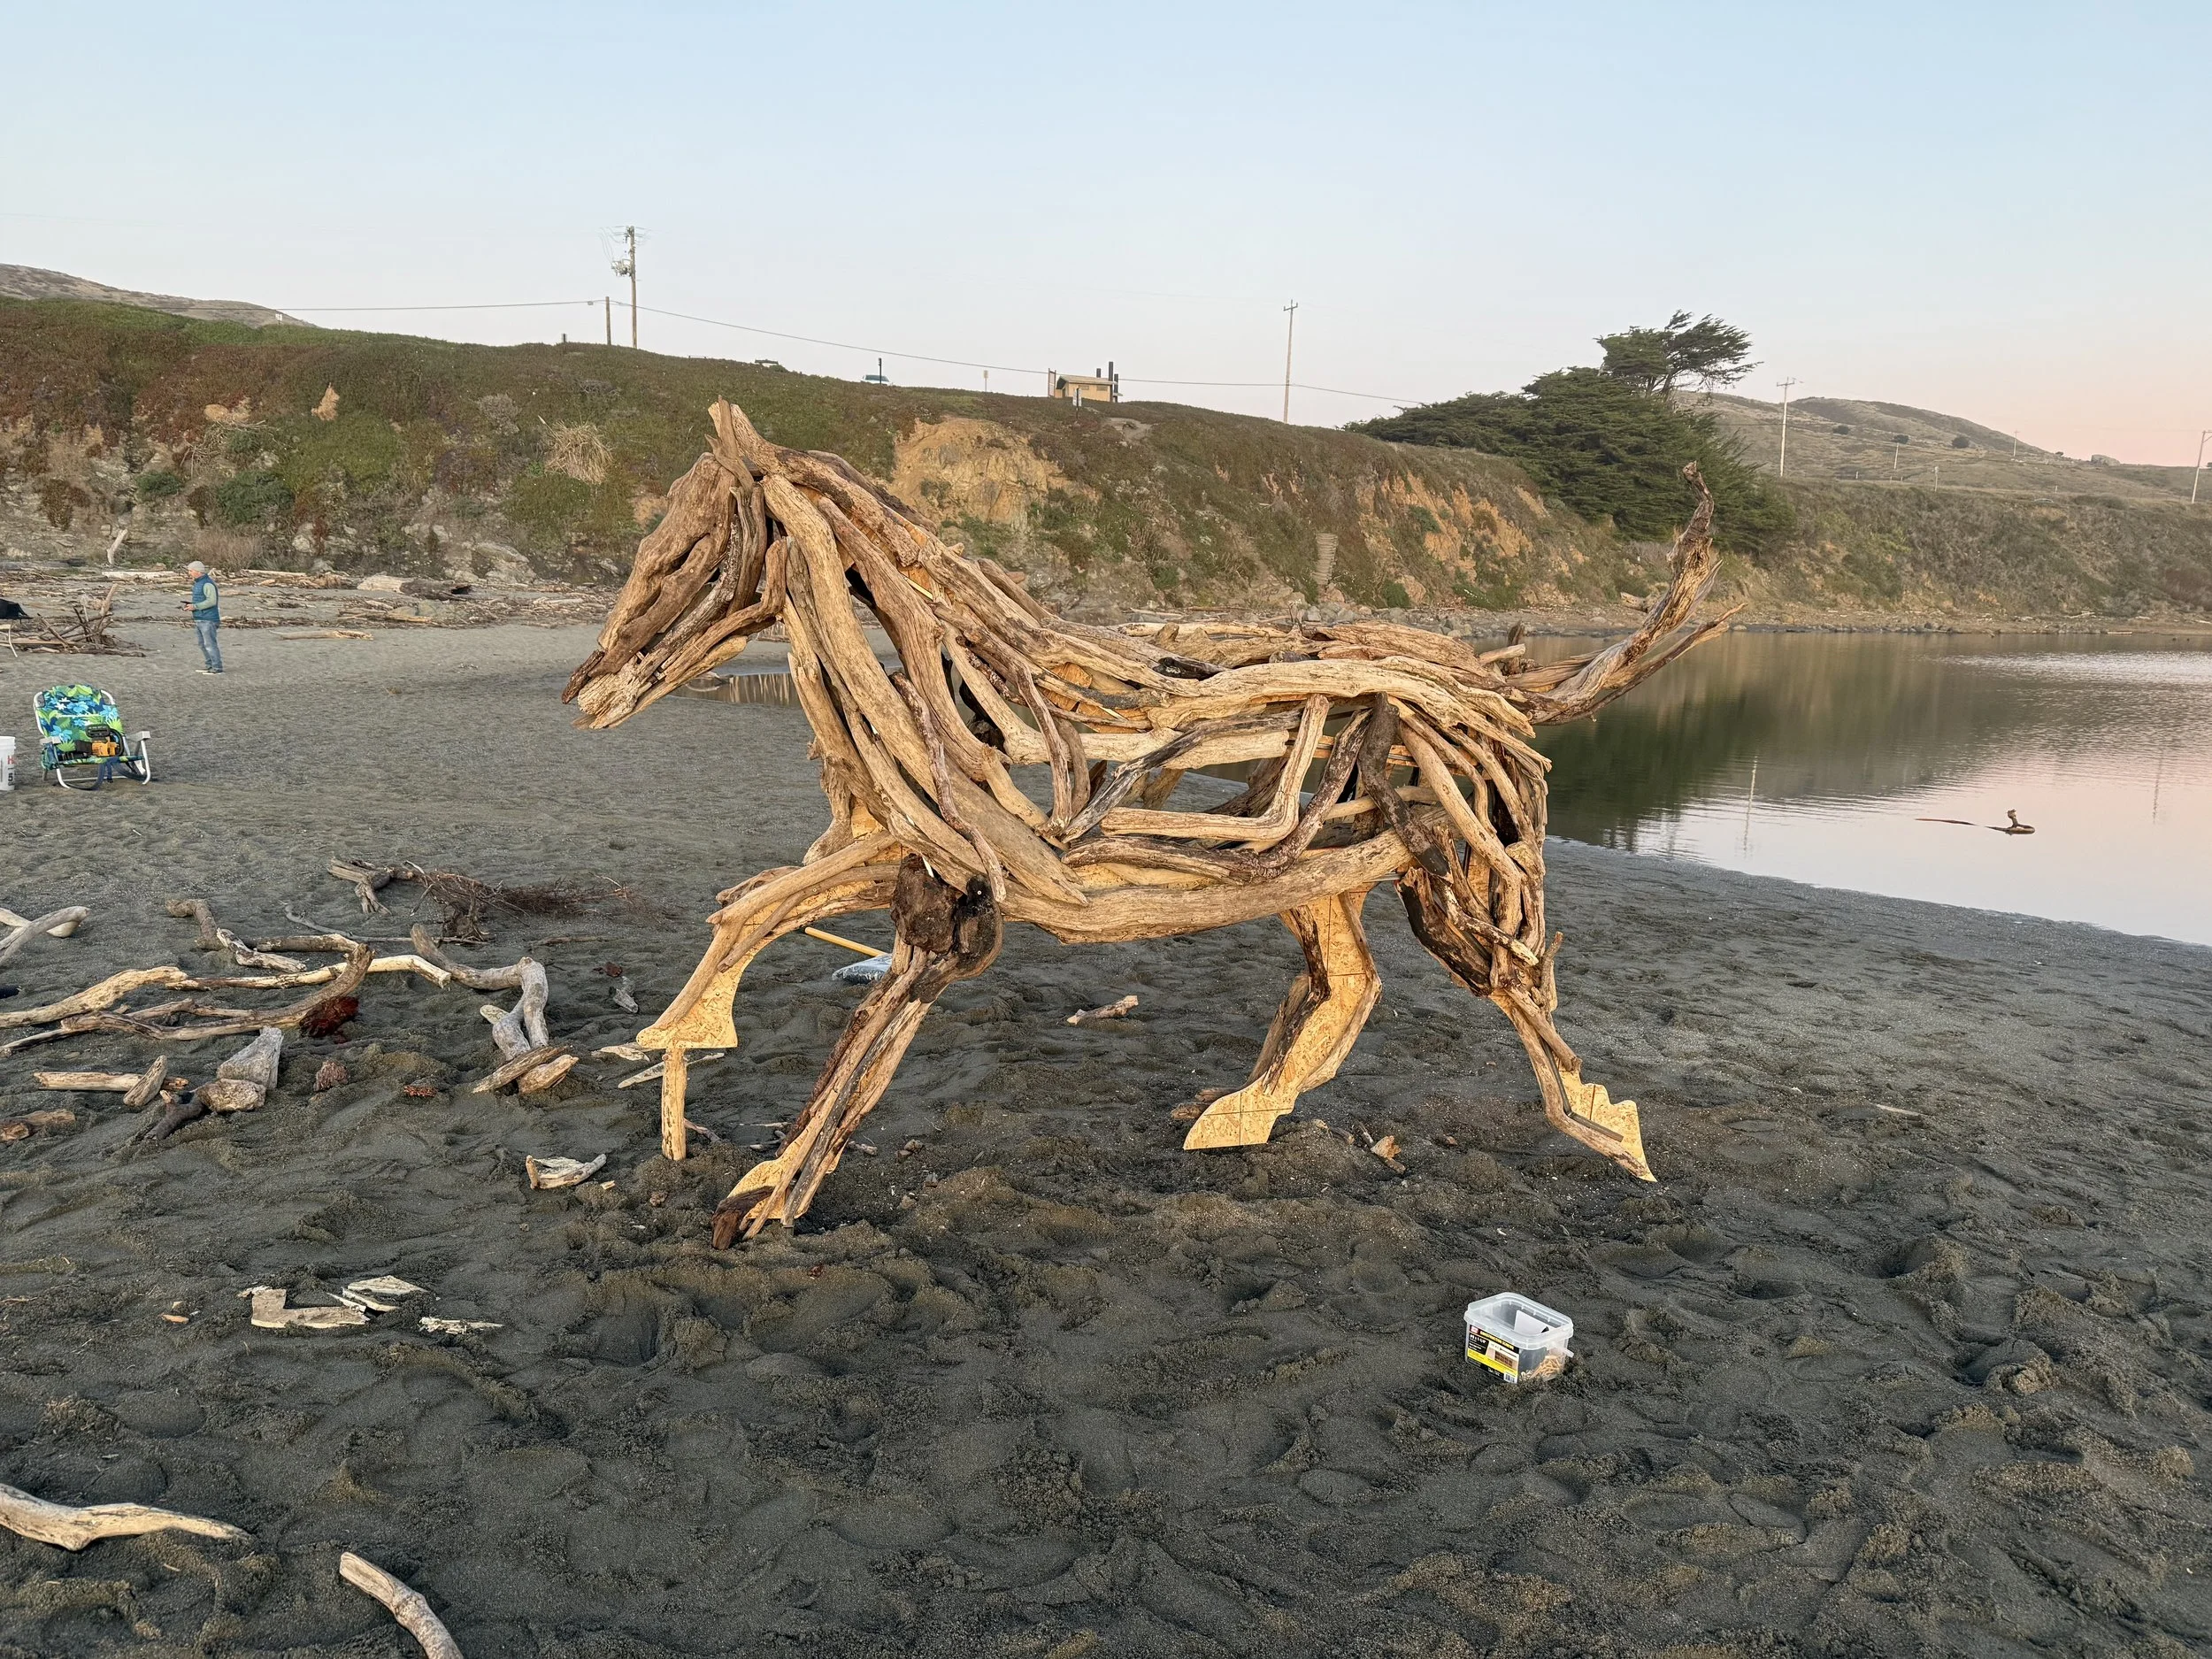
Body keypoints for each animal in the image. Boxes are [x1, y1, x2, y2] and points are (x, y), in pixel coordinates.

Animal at [566, 400, 1725, 1245]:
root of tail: (1496, 685)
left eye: (682, 555)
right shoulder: (911, 867)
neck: (933, 687)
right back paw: (1243, 1113)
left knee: (1509, 990)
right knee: (1350, 984)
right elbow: (760, 903)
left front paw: (765, 1191)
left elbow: (851, 1019)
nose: (586, 691)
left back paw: (1607, 1131)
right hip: (1320, 873)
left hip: (1454, 873)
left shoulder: (954, 909)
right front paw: (685, 1043)